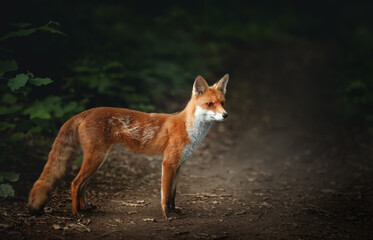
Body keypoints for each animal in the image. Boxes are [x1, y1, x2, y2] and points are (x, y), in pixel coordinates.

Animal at [26, 74, 227, 218]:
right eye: (210, 104)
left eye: (223, 103)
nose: (226, 115)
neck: (189, 128)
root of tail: (87, 111)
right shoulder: (168, 163)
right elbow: (165, 194)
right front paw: (167, 215)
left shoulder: (178, 165)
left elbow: (173, 194)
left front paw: (173, 211)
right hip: (96, 158)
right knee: (75, 183)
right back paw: (76, 214)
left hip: (97, 161)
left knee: (82, 185)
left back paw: (86, 209)